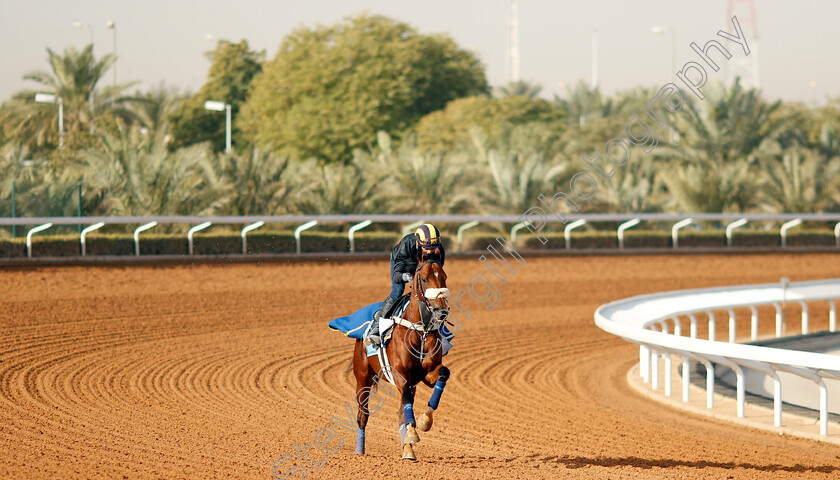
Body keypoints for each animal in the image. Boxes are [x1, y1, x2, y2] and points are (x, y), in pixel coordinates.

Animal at [350, 258, 452, 462]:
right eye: (424, 278)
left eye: (444, 276)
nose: (441, 310)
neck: (421, 331)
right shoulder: (400, 374)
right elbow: (405, 399)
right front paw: (413, 433)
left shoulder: (425, 375)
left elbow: (443, 374)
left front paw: (424, 421)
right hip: (363, 377)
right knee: (362, 414)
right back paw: (360, 450)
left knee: (400, 413)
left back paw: (408, 450)